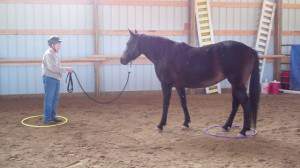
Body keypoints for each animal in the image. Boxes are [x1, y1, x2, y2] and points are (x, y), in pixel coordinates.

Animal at [119, 29, 260, 136]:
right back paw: (226, 126)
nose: (122, 60)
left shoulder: (166, 84)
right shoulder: (179, 86)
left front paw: (160, 125)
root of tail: (250, 50)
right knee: (236, 103)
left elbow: (165, 104)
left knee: (245, 103)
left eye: (129, 44)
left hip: (237, 83)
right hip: (236, 84)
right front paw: (186, 123)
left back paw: (243, 130)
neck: (164, 53)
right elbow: (183, 103)